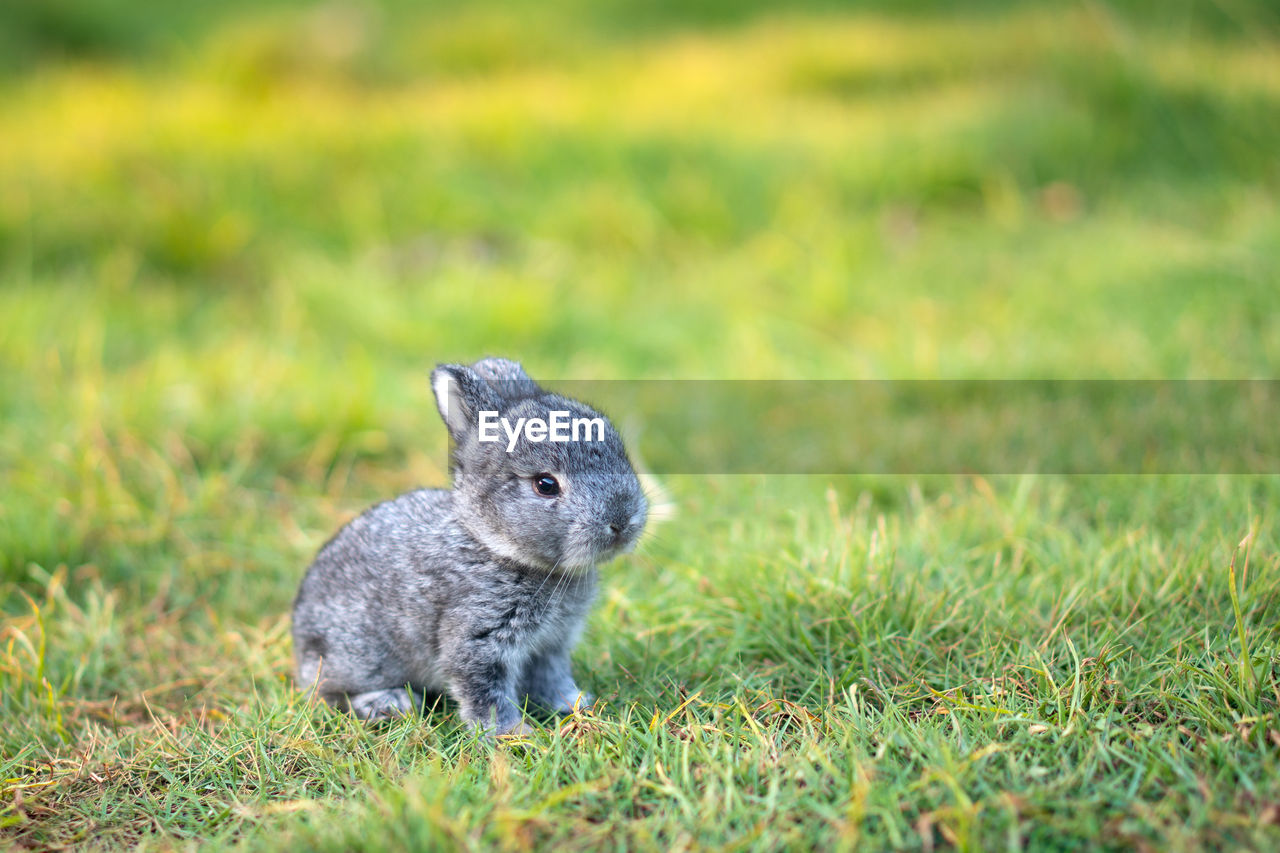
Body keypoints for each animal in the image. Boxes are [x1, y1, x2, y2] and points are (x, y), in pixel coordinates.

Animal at [293, 356, 650, 732]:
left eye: (620, 455)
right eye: (545, 484)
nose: (622, 521)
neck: (497, 549)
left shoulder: (550, 645)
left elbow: (550, 678)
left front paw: (574, 704)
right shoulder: (478, 638)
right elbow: (485, 692)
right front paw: (512, 733)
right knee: (329, 692)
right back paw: (388, 702)